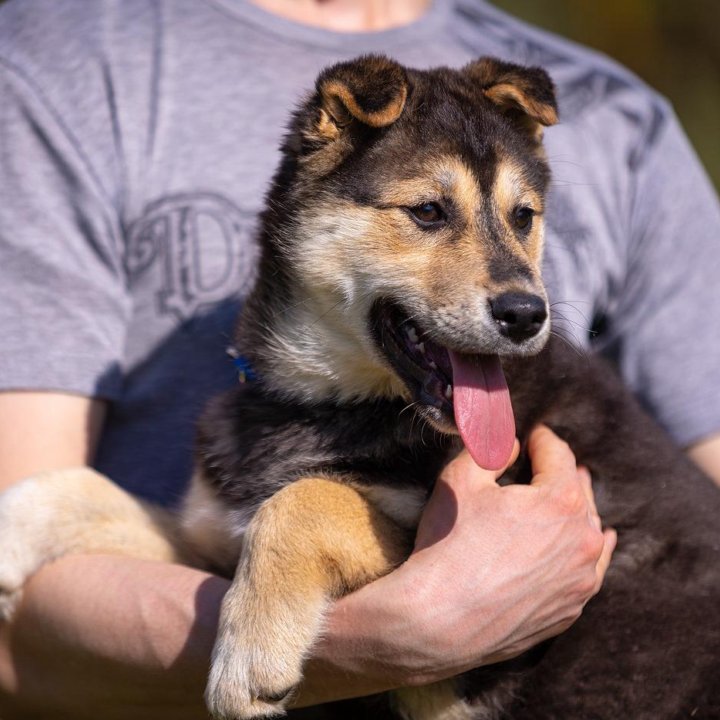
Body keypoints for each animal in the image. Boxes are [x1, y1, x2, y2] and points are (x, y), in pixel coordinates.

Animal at [1, 56, 720, 720]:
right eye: (428, 211)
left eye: (523, 218)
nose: (525, 315)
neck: (331, 401)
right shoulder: (210, 539)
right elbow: (101, 493)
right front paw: (14, 528)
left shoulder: (455, 608)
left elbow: (307, 499)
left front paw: (251, 651)